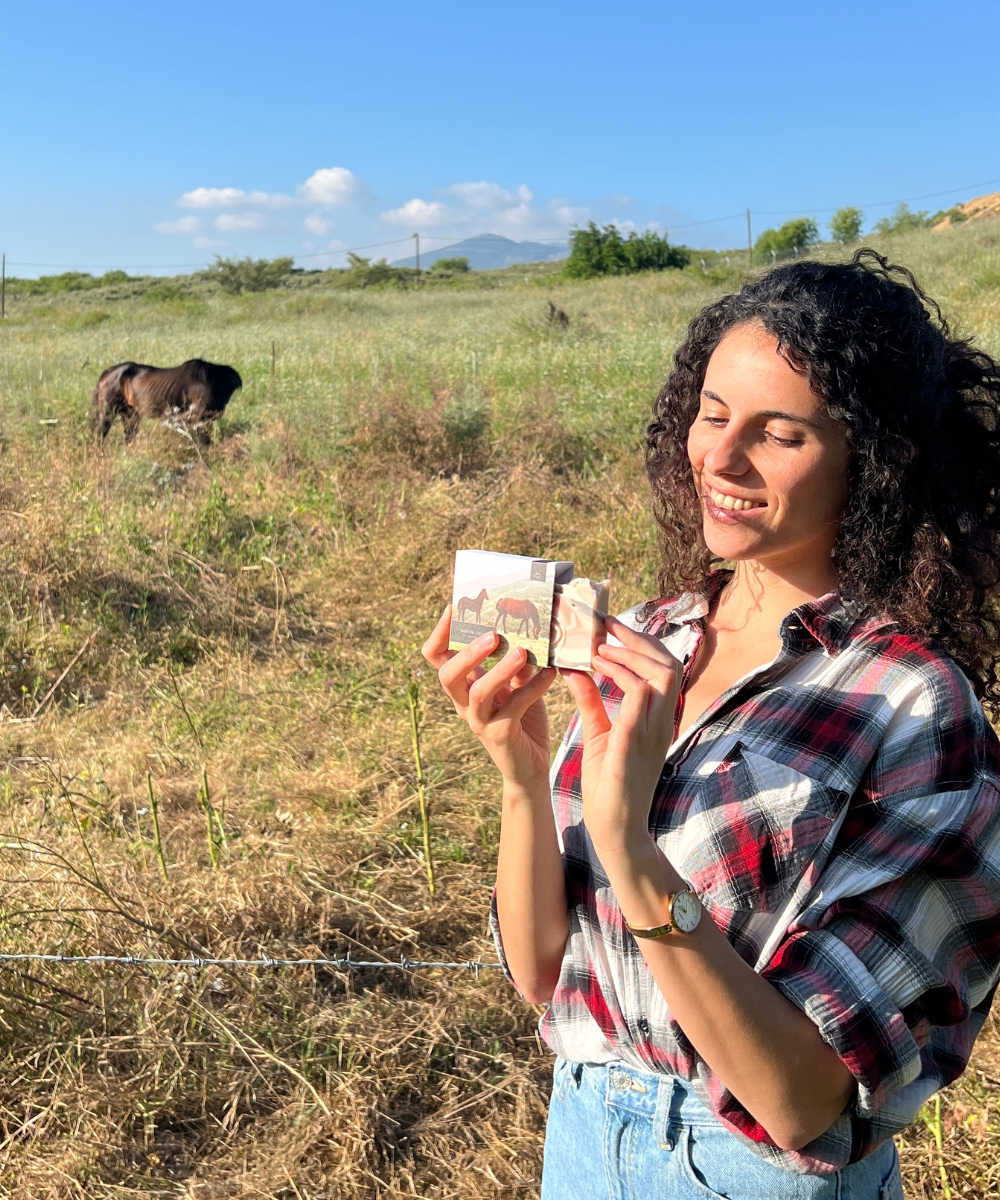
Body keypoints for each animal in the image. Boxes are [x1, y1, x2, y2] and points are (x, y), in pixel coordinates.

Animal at [91, 360, 243, 451]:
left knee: (128, 435)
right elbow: (204, 440)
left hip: (129, 413)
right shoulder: (200, 417)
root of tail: (106, 373)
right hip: (108, 411)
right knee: (99, 433)